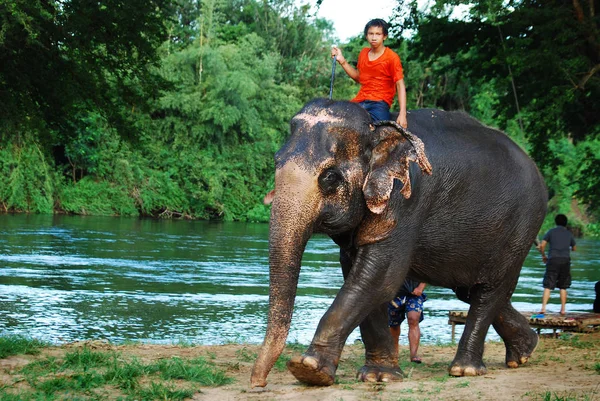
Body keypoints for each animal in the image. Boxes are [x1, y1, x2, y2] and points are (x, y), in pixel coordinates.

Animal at [250, 97, 548, 388]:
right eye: (276, 162)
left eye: (330, 177)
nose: (258, 383)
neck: (378, 132)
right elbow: (360, 275)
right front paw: (378, 375)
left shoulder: (405, 201)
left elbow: (379, 277)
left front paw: (308, 369)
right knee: (472, 290)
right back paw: (525, 352)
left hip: (521, 227)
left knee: (489, 290)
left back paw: (465, 370)